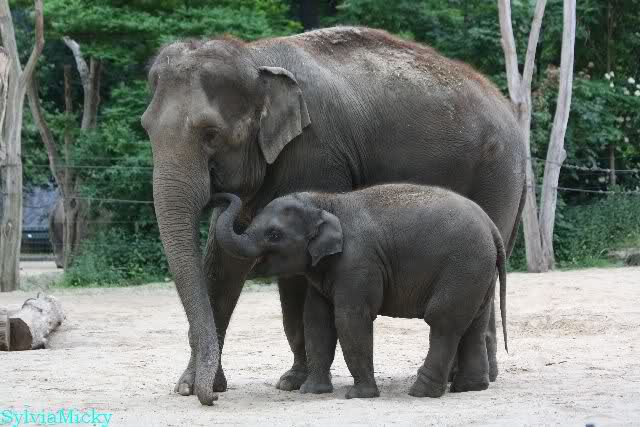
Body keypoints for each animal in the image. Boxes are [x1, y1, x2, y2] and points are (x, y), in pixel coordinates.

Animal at [212, 186, 508, 399]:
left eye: (274, 234)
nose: (220, 196)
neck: (326, 202)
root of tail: (492, 228)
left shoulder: (358, 262)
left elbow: (351, 319)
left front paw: (359, 395)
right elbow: (317, 320)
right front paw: (312, 392)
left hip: (463, 267)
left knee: (443, 321)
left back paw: (420, 393)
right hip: (478, 273)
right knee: (474, 322)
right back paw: (469, 388)